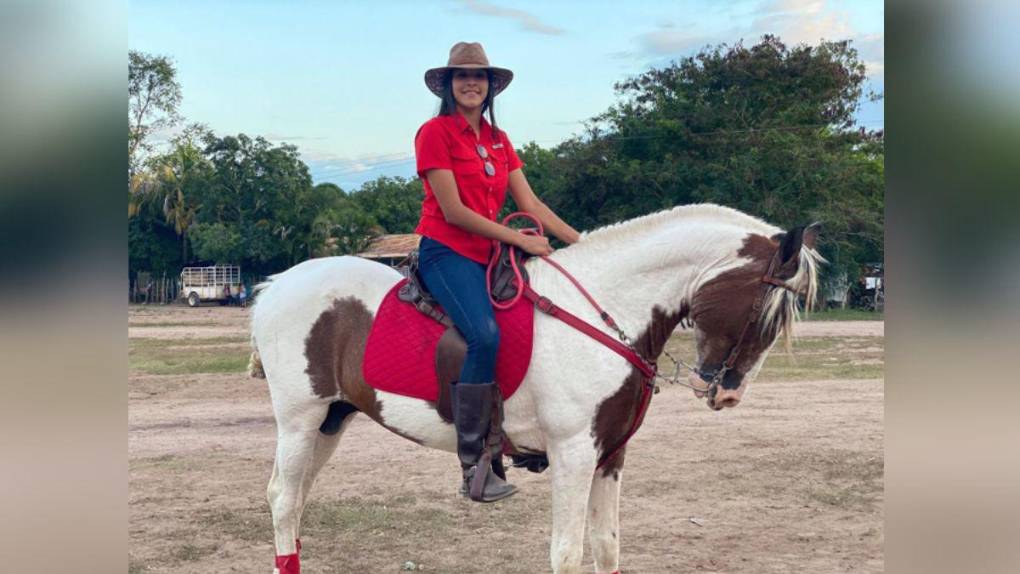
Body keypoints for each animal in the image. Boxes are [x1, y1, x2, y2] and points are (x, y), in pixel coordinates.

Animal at [249, 203, 822, 574]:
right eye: (766, 310)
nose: (726, 392)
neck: (602, 315)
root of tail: (276, 284)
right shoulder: (573, 454)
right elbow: (566, 554)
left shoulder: (610, 455)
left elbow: (607, 548)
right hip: (300, 421)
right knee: (282, 497)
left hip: (332, 420)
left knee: (296, 499)